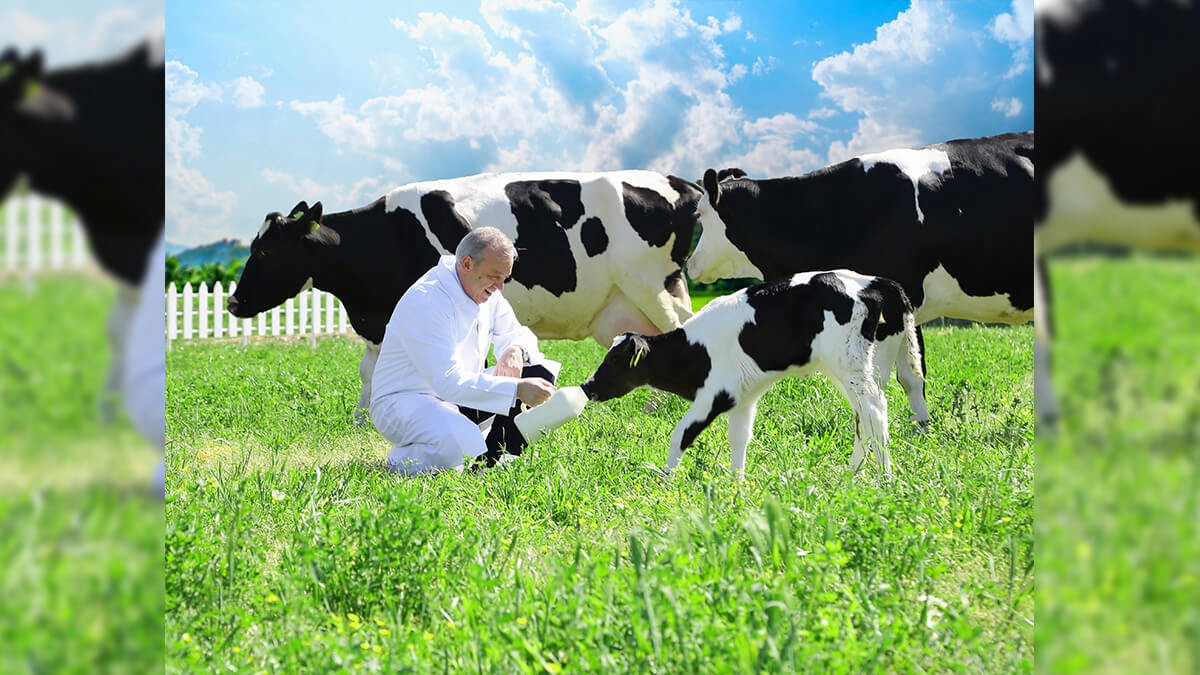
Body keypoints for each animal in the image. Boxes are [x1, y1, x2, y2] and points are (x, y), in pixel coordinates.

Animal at [578, 267, 916, 478]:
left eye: (615, 360)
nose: (587, 386)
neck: (692, 350)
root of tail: (869, 280)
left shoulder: (713, 395)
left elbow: (680, 435)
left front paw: (664, 482)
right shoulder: (742, 398)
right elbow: (739, 438)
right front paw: (735, 485)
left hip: (848, 364)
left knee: (875, 410)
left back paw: (884, 477)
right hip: (858, 366)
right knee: (863, 416)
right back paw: (851, 475)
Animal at [686, 132, 1032, 425]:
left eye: (700, 214)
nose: (690, 264)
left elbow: (878, 378)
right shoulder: (903, 305)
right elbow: (912, 374)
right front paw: (921, 429)